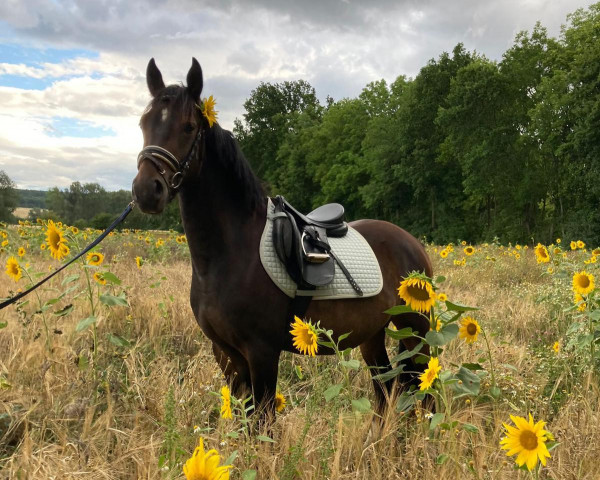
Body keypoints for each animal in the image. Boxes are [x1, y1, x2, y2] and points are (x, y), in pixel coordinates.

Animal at [132, 57, 432, 416]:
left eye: (189, 127)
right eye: (144, 123)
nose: (146, 191)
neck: (230, 254)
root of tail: (413, 245)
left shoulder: (261, 352)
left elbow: (262, 423)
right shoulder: (226, 355)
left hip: (417, 333)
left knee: (426, 395)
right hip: (372, 335)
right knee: (385, 391)